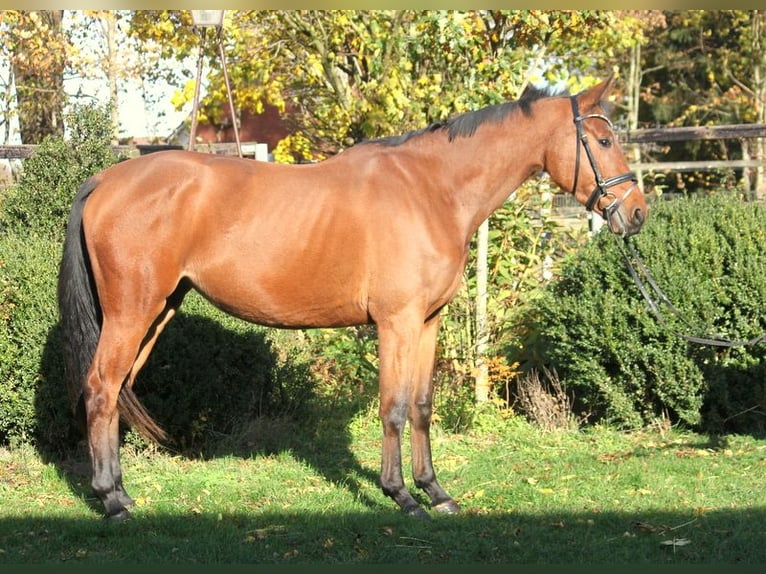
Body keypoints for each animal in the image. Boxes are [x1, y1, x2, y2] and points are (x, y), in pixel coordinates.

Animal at [57, 75, 647, 521]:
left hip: (158, 312)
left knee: (116, 391)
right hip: (131, 313)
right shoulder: (396, 322)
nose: (637, 213)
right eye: (601, 142)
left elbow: (423, 405)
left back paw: (122, 492)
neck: (431, 189)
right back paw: (112, 501)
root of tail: (105, 179)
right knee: (102, 388)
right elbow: (393, 407)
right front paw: (401, 496)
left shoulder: (428, 322)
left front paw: (437, 493)